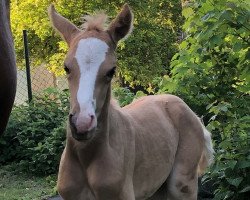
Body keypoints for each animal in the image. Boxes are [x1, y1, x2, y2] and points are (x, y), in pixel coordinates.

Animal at [49, 3, 215, 199]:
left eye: (111, 71)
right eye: (66, 68)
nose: (82, 124)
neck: (87, 158)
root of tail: (190, 111)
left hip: (182, 185)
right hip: (157, 187)